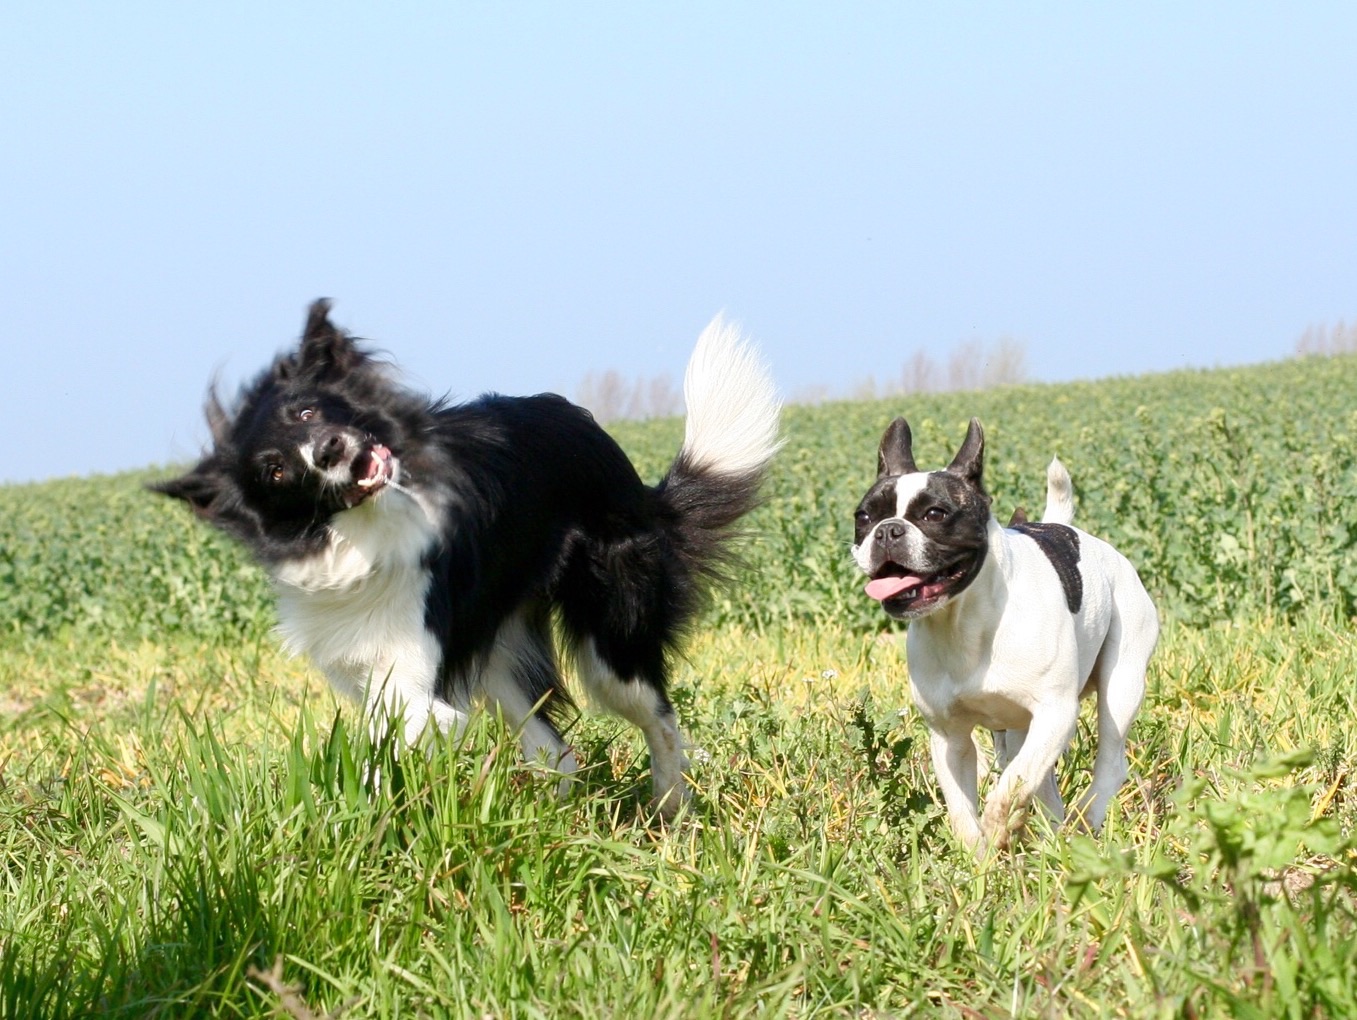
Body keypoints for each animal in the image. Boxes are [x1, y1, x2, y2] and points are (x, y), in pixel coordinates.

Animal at [152, 298, 781, 819]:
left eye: (306, 413)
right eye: (275, 471)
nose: (330, 450)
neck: (367, 528)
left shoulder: (414, 671)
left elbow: (401, 740)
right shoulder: (362, 664)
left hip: (611, 641)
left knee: (659, 717)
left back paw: (672, 810)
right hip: (500, 655)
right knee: (557, 754)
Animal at [846, 415, 1156, 851]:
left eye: (936, 514)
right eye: (864, 517)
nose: (888, 530)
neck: (962, 620)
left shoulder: (1055, 713)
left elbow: (1013, 785)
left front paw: (997, 824)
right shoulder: (950, 738)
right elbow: (964, 805)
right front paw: (978, 855)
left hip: (1121, 683)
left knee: (1107, 761)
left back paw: (1082, 824)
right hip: (1018, 728)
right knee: (1037, 778)